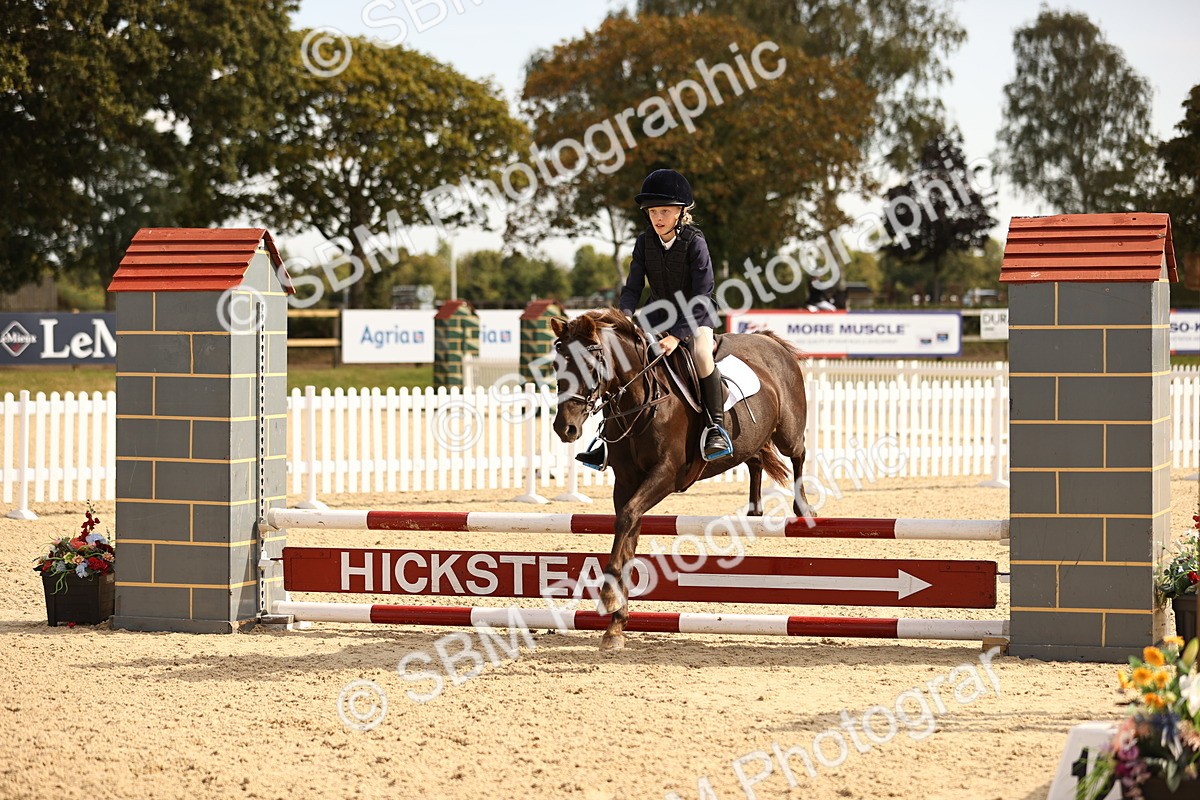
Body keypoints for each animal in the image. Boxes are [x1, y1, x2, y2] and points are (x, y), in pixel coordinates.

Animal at [549, 309, 811, 651]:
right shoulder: (626, 481)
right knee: (755, 459)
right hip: (753, 437)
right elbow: (627, 529)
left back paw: (803, 507)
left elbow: (628, 517)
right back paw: (754, 511)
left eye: (589, 365)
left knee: (799, 452)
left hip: (787, 431)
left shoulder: (666, 473)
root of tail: (769, 340)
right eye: (557, 364)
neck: (641, 399)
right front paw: (616, 624)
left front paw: (607, 597)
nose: (564, 428)